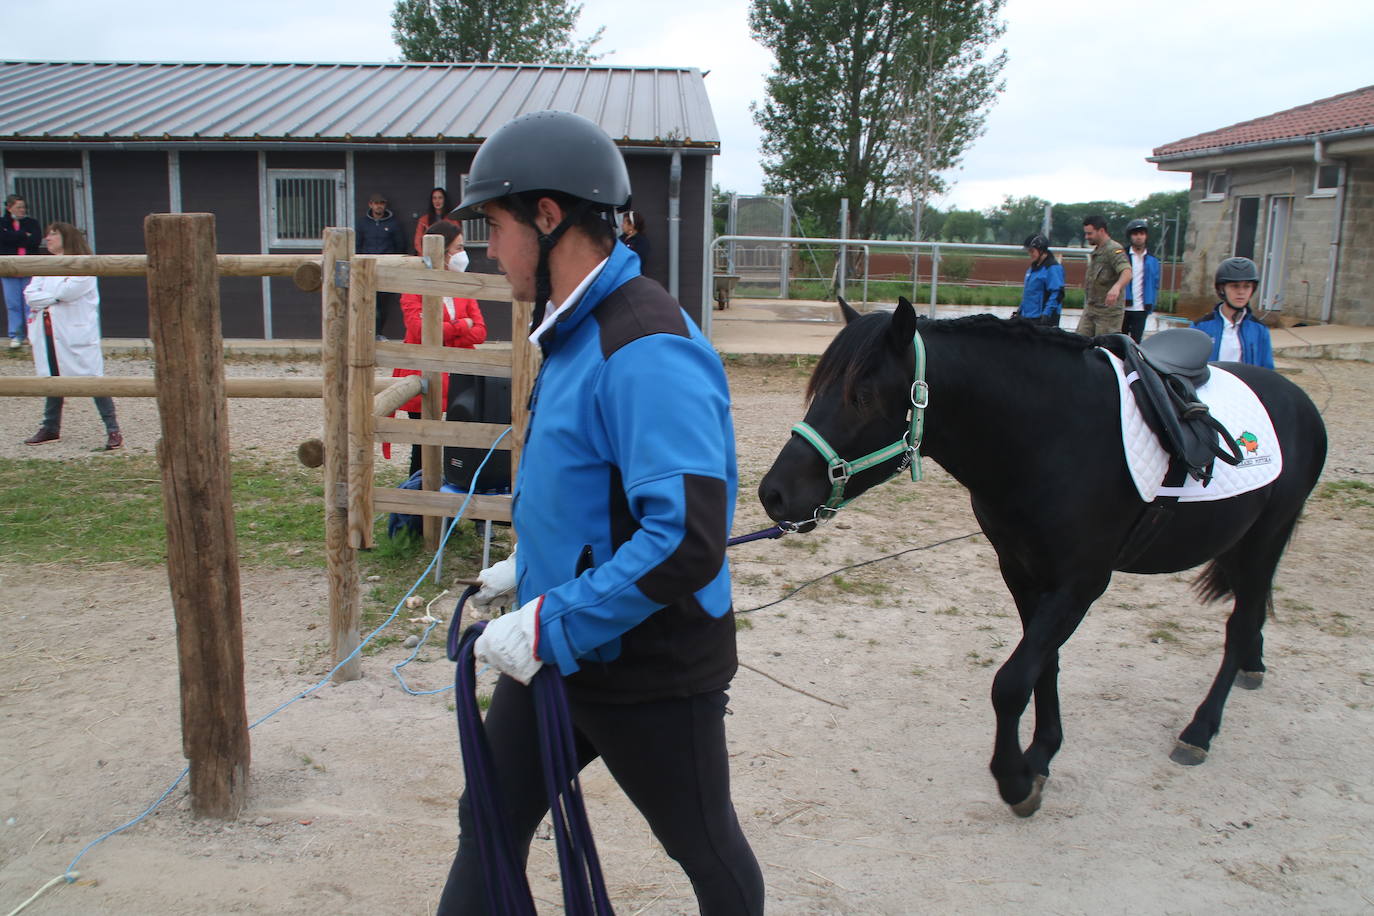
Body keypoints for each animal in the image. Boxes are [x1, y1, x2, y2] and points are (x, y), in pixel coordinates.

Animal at [758, 299, 1324, 818]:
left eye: (862, 395)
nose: (774, 495)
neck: (1052, 438)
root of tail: (1297, 399)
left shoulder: (1081, 584)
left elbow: (1011, 683)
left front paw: (1014, 778)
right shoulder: (1023, 573)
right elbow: (1042, 666)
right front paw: (1042, 754)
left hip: (1264, 541)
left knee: (1240, 621)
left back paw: (1201, 729)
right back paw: (1251, 666)